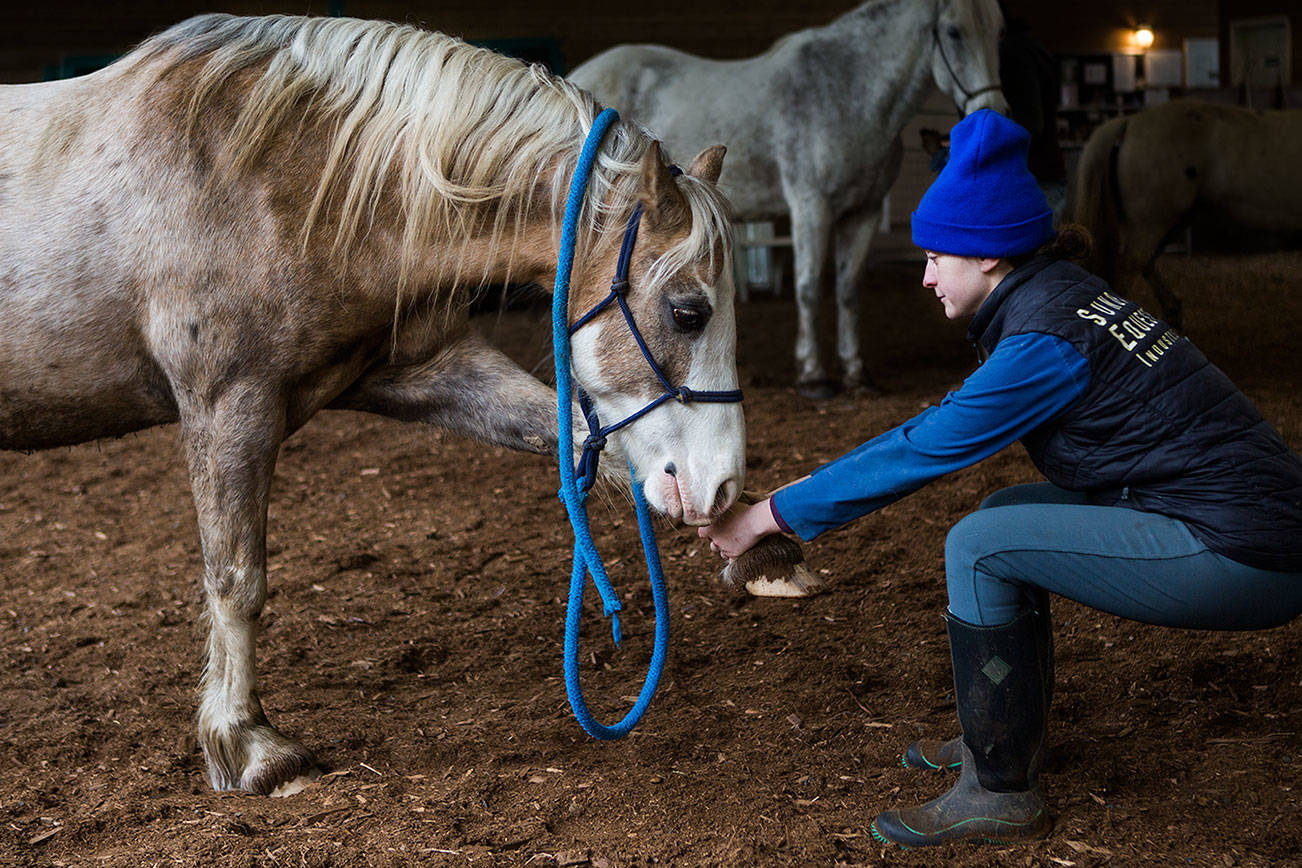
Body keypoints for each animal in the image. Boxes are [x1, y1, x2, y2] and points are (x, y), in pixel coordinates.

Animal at [0, 13, 749, 796]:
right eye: (689, 311)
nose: (722, 485)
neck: (280, 182)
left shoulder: (423, 372)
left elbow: (571, 435)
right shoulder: (227, 405)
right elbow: (236, 580)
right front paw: (249, 746)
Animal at [575, 0, 1010, 398]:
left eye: (999, 31)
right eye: (953, 32)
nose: (993, 112)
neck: (844, 93)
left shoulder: (864, 212)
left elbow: (848, 289)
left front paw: (855, 374)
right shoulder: (811, 208)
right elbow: (808, 287)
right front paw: (813, 375)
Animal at [1072, 99, 1302, 329]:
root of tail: (1130, 122)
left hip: (1169, 223)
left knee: (1146, 263)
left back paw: (1173, 312)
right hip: (1152, 223)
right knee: (1128, 270)